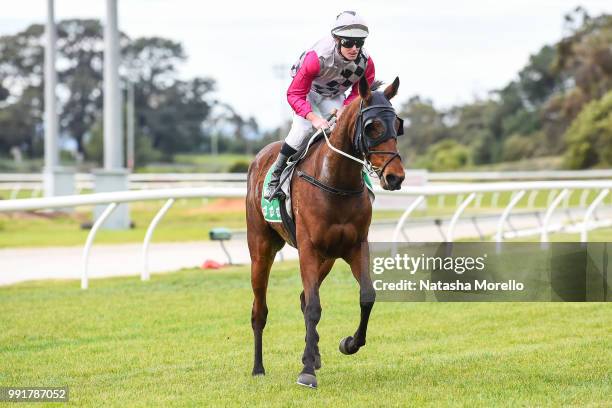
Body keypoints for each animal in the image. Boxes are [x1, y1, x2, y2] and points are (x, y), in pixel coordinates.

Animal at [244, 76, 406, 388]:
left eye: (398, 125)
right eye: (372, 127)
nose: (395, 177)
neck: (336, 182)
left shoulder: (355, 246)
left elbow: (367, 296)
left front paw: (349, 343)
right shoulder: (308, 248)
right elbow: (314, 307)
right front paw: (307, 372)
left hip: (328, 259)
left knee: (303, 297)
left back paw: (314, 354)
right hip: (261, 249)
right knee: (260, 310)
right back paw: (258, 367)